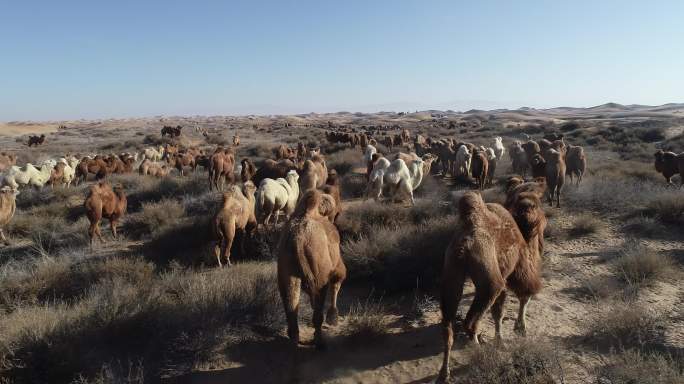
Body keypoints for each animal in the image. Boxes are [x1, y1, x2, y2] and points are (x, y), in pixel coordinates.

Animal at [276, 190, 344, 350]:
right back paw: (319, 342)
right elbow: (338, 279)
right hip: (319, 273)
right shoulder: (335, 261)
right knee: (318, 309)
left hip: (287, 270)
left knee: (291, 300)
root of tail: (298, 240)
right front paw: (333, 318)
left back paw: (294, 341)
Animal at [438, 191, 544, 380]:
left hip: (451, 272)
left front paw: (501, 340)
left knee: (448, 327)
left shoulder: (503, 274)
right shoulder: (518, 267)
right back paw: (478, 352)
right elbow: (523, 295)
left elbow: (498, 312)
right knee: (470, 323)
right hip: (491, 282)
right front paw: (518, 331)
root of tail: (463, 246)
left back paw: (444, 372)